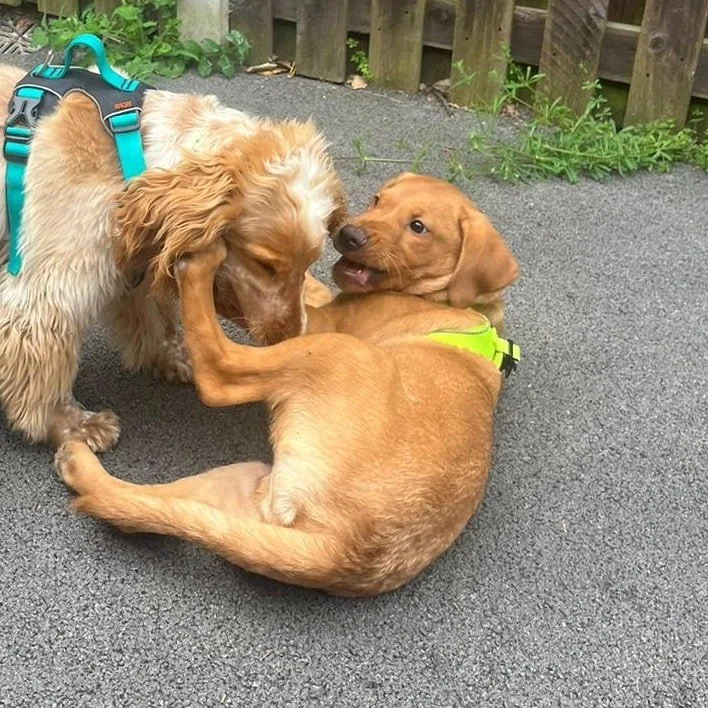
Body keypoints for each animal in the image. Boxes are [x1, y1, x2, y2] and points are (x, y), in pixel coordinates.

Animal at [0, 64, 345, 452]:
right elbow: (43, 360)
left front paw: (177, 358)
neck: (130, 154)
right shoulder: (46, 297)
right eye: (264, 264)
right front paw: (68, 424)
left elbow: (156, 319)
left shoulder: (134, 262)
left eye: (308, 264)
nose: (290, 336)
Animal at [55, 226, 519, 597]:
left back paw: (202, 263)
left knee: (218, 369)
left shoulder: (318, 327)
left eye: (417, 226)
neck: (460, 304)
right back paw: (79, 464)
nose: (347, 234)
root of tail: (350, 550)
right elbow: (305, 291)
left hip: (333, 354)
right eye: (378, 200)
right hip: (240, 491)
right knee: (130, 507)